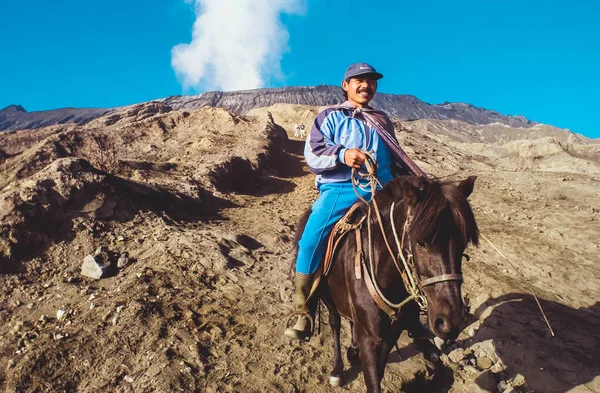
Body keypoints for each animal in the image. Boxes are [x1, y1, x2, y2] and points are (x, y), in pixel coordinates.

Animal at [294, 175, 478, 392]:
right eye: (420, 242)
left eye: (463, 243)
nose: (451, 322)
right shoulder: (370, 337)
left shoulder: (392, 332)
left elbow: (380, 368)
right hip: (327, 298)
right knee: (335, 323)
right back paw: (337, 369)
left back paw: (353, 351)